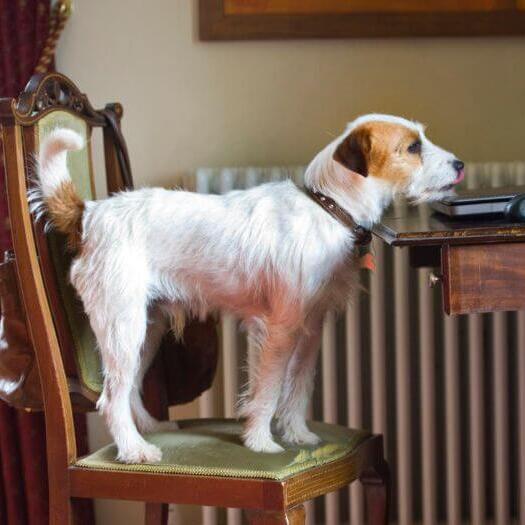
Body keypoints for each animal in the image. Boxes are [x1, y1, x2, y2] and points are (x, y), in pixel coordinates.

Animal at [32, 112, 462, 460]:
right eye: (413, 146)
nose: (459, 163)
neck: (327, 208)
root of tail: (91, 214)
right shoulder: (278, 331)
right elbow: (268, 390)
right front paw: (260, 441)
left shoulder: (310, 330)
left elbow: (298, 387)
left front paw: (298, 434)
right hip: (123, 326)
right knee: (111, 398)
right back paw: (135, 450)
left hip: (147, 330)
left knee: (131, 388)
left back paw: (150, 429)